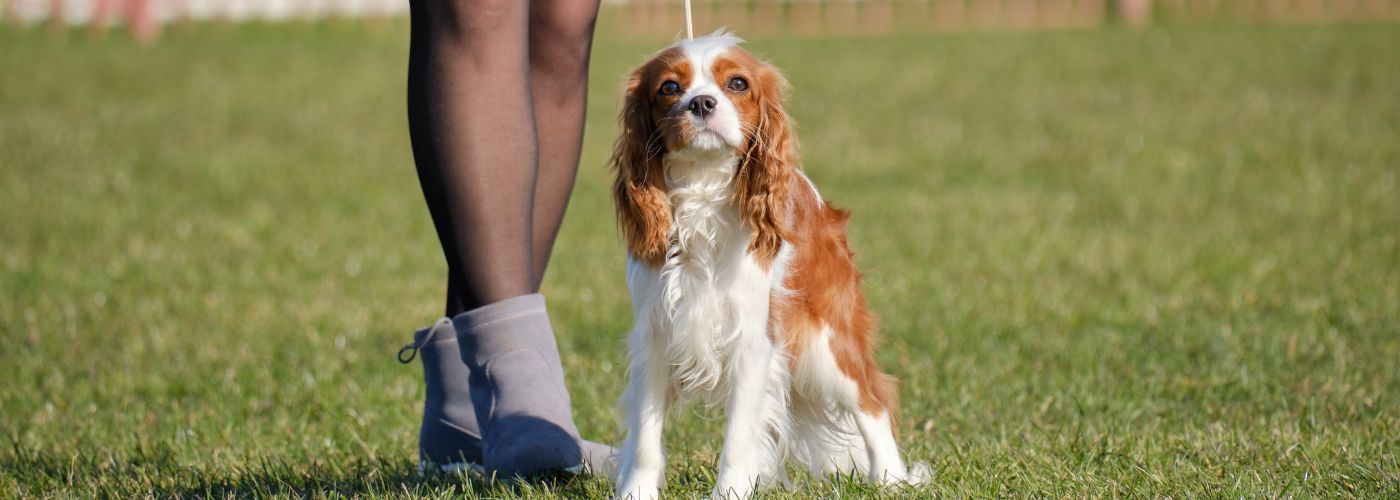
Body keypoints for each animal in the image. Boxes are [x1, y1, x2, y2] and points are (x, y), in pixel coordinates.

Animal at [604, 32, 924, 498]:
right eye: (669, 88)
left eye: (737, 84)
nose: (702, 103)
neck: (703, 189)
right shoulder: (656, 334)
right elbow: (646, 436)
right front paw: (636, 492)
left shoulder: (753, 340)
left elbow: (739, 436)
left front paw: (731, 491)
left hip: (826, 342)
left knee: (871, 400)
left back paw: (890, 478)